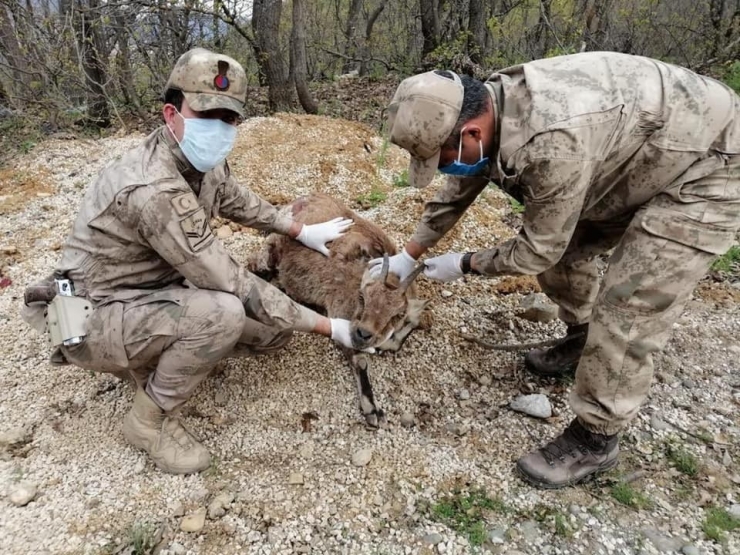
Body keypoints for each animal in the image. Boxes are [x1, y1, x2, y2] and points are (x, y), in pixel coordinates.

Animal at [249, 193, 430, 428]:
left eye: (397, 314)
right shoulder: (341, 312)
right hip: (270, 251)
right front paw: (372, 409)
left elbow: (404, 331)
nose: (363, 334)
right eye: (362, 297)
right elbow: (360, 359)